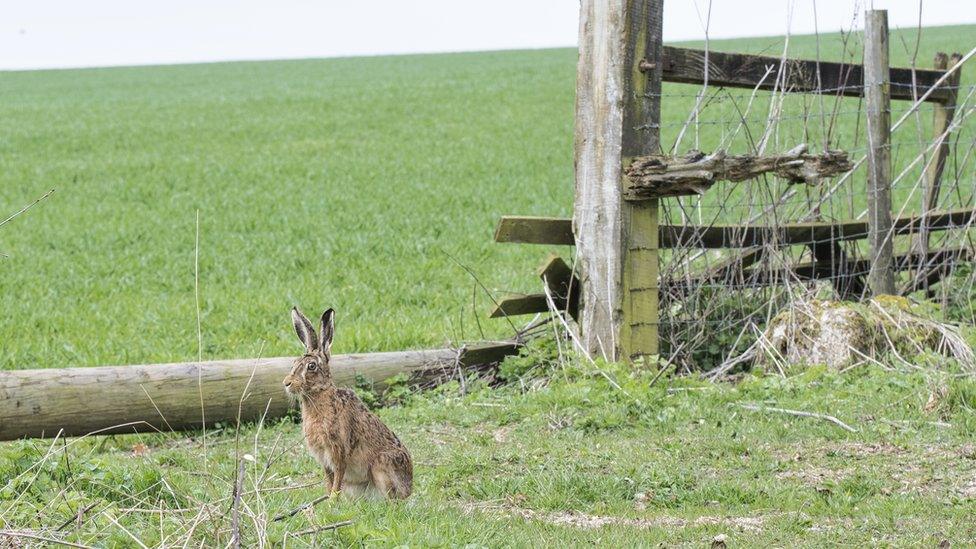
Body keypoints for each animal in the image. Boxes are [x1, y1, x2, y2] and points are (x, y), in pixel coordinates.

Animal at [283, 306, 413, 500]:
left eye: (311, 366)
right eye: (294, 362)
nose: (287, 383)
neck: (319, 395)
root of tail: (409, 488)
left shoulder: (338, 453)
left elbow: (336, 484)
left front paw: (331, 503)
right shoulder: (324, 461)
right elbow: (329, 483)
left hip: (382, 466)